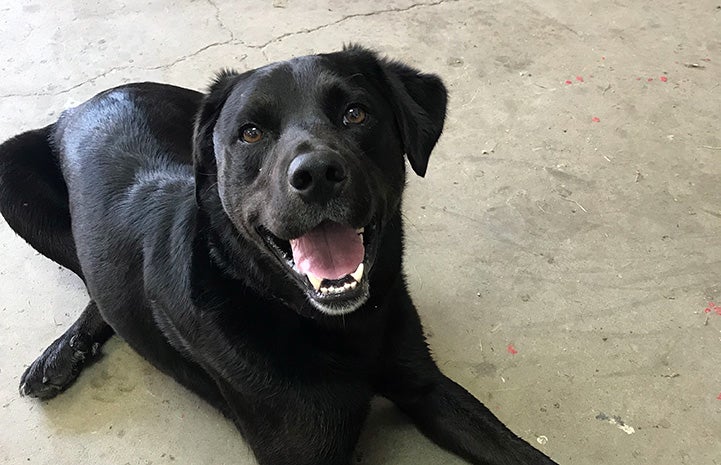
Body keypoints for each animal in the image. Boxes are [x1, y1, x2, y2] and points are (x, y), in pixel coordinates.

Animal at [0, 45, 556, 462]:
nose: (317, 175)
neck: (333, 327)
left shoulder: (427, 387)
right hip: (15, 186)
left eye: (355, 113)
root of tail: (87, 103)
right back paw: (63, 353)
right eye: (251, 132)